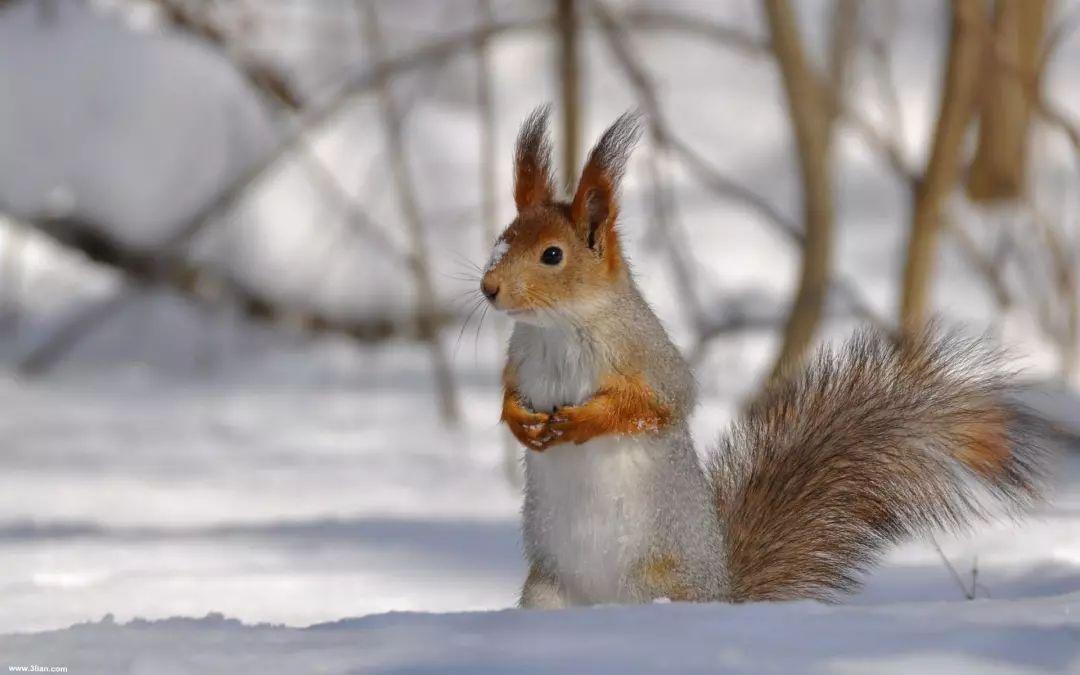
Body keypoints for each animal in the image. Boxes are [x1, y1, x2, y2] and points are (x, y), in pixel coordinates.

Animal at [479, 105, 1045, 604]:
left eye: (552, 255)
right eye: (501, 240)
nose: (488, 288)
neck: (557, 329)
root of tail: (724, 596)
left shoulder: (647, 356)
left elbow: (658, 405)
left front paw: (580, 422)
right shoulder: (521, 358)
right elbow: (509, 392)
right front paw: (519, 421)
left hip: (653, 582)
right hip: (546, 592)